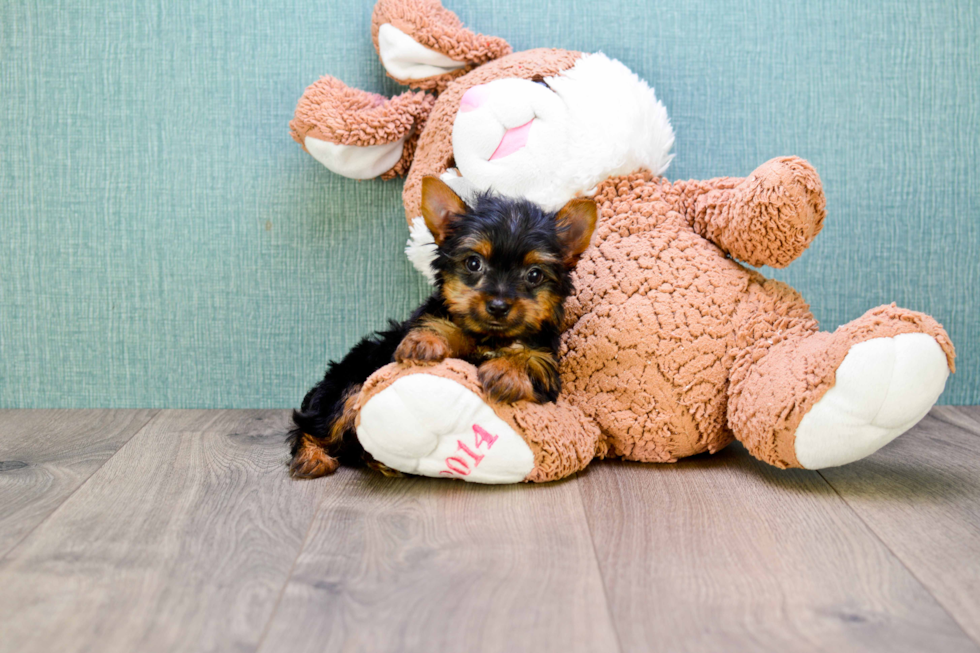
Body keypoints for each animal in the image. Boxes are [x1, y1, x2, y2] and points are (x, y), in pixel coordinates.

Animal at [288, 176, 596, 476]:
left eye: (534, 275)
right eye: (474, 263)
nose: (498, 305)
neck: (489, 338)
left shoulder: (547, 362)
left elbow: (534, 361)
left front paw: (509, 370)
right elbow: (441, 327)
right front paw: (425, 341)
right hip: (346, 384)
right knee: (318, 422)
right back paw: (312, 456)